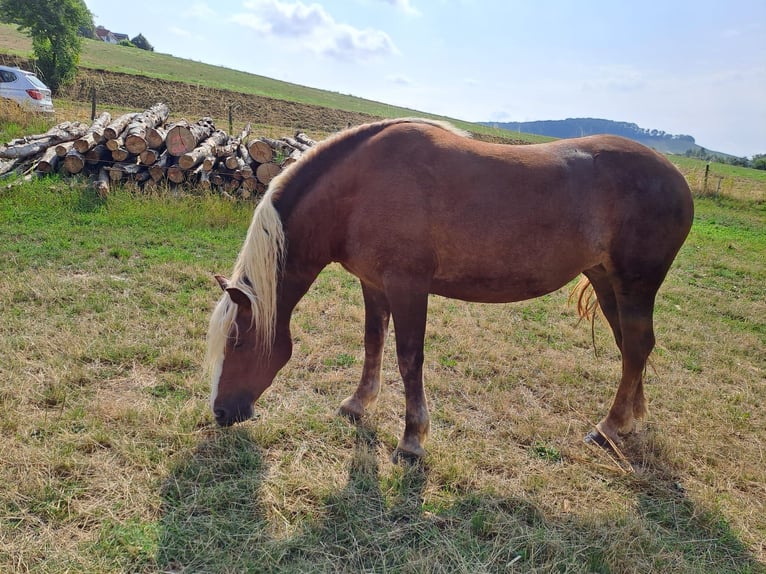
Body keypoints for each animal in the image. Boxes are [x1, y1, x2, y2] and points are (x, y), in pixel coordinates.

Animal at [206, 118, 693, 460]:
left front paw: (412, 439)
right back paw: (629, 421)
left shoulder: (408, 286)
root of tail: (677, 179)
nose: (221, 413)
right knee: (632, 347)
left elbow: (409, 359)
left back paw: (609, 427)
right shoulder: (373, 284)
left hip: (635, 284)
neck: (359, 188)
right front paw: (358, 404)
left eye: (239, 341)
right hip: (607, 281)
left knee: (636, 346)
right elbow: (372, 342)